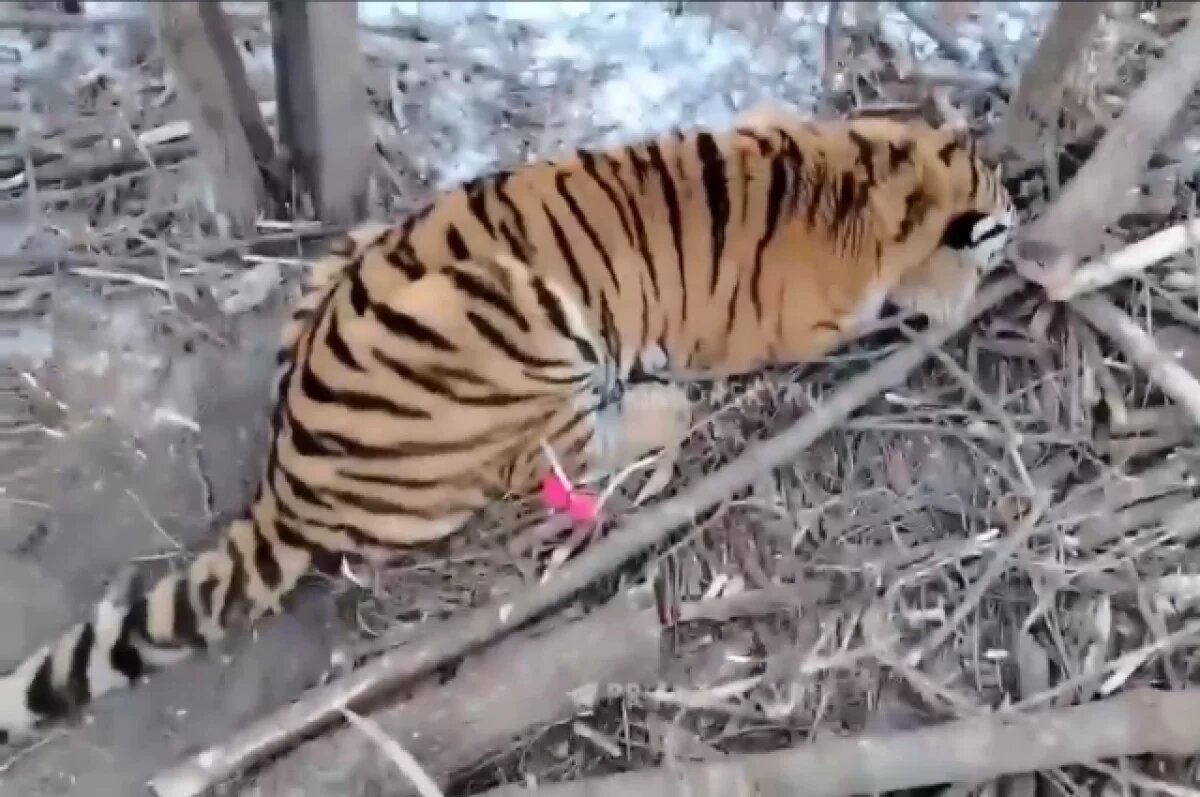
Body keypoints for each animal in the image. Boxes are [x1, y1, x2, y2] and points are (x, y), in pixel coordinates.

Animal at [0, 104, 1015, 741]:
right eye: (998, 212)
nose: (1017, 212)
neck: (859, 175)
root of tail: (291, 478)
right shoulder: (800, 324)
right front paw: (957, 292)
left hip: (346, 255)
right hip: (512, 318)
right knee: (557, 458)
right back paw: (654, 410)